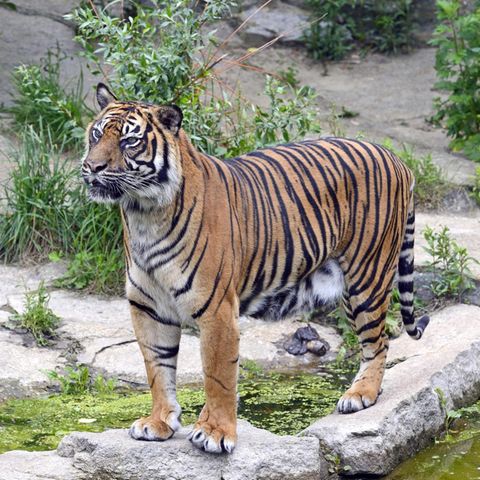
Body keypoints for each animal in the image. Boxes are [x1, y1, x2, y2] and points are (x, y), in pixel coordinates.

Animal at [82, 82, 432, 454]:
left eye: (129, 141)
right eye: (97, 134)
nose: (91, 166)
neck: (144, 214)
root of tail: (396, 159)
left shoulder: (217, 310)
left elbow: (218, 376)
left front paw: (215, 433)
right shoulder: (148, 307)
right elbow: (157, 369)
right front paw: (159, 422)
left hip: (366, 278)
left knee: (378, 342)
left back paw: (360, 394)